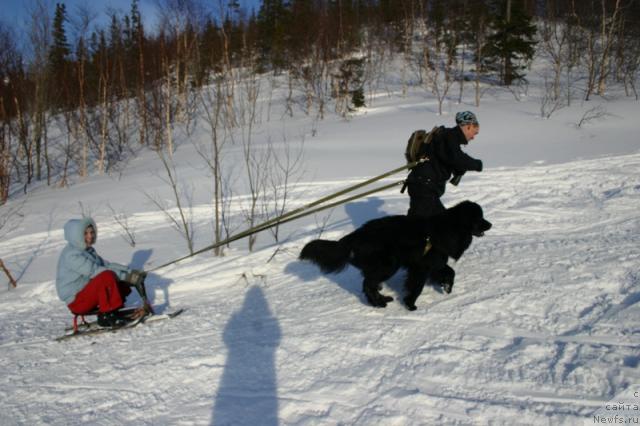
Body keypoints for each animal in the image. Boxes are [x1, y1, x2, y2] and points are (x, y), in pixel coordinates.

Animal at [298, 200, 490, 310]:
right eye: (479, 218)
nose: (490, 224)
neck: (451, 227)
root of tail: (356, 235)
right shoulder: (422, 266)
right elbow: (417, 286)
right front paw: (410, 304)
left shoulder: (434, 262)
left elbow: (449, 271)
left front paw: (446, 286)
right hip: (389, 264)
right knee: (368, 284)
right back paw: (379, 303)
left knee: (370, 284)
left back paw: (380, 299)